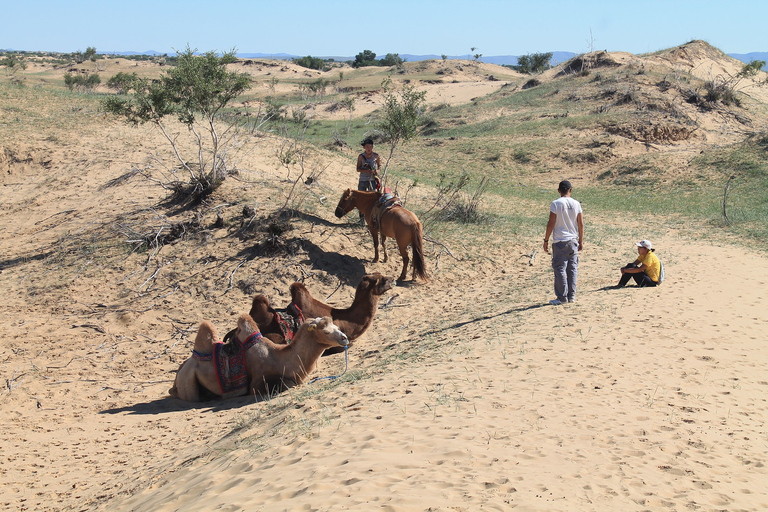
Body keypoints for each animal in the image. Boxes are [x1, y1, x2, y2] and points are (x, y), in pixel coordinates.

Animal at [170, 314, 348, 402]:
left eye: (336, 326)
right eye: (326, 331)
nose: (344, 338)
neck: (279, 358)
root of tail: (180, 370)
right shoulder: (256, 384)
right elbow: (289, 383)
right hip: (188, 383)